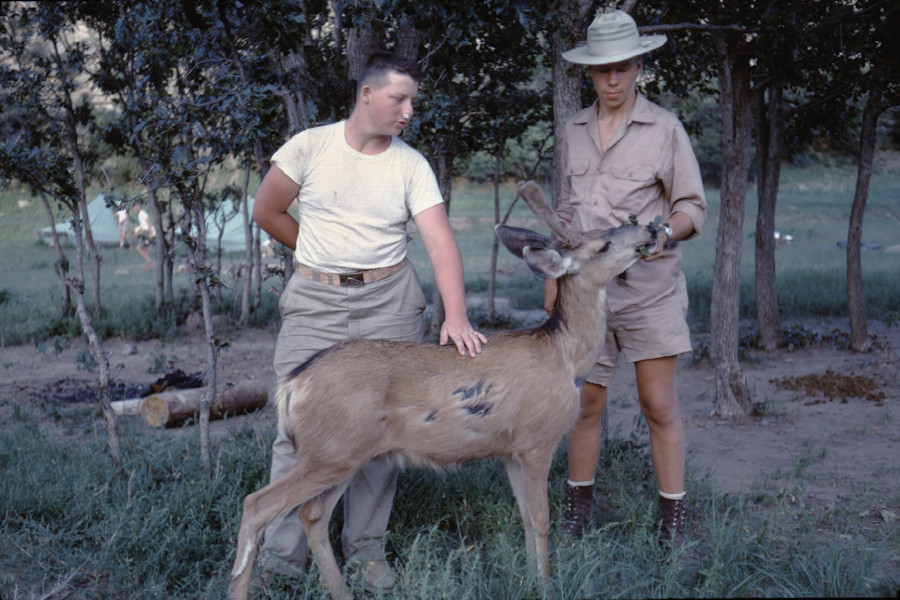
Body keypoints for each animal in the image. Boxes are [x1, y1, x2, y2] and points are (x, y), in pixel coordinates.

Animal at [229, 180, 658, 600]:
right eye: (603, 245)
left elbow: (525, 518)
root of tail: (291, 385)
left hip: (344, 452)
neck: (566, 358)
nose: (650, 230)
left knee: (312, 514)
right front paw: (547, 587)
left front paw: (532, 579)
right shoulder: (538, 439)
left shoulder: (511, 450)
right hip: (331, 450)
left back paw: (342, 593)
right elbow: (542, 519)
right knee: (257, 504)